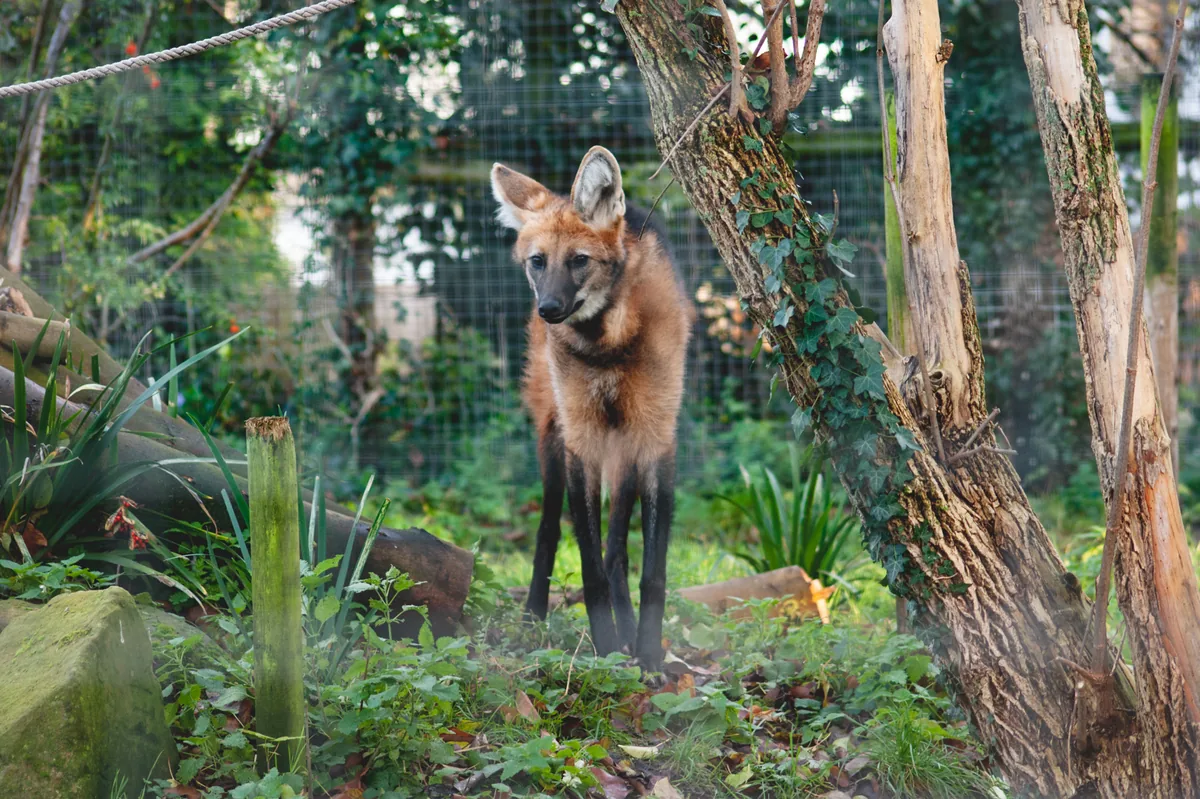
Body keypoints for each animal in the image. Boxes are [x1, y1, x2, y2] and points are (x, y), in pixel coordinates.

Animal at [491, 146, 694, 666]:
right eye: (537, 261)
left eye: (579, 260)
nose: (549, 309)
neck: (608, 344)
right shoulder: (580, 438)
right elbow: (587, 563)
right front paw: (605, 653)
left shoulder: (655, 435)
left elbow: (650, 570)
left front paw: (648, 657)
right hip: (554, 431)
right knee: (548, 528)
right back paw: (533, 619)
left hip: (622, 446)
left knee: (617, 545)